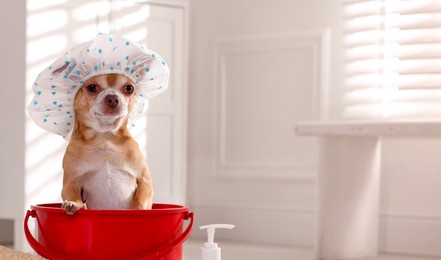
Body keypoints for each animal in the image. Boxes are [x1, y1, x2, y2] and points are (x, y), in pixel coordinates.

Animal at [61, 73, 152, 215]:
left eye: (129, 88)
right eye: (92, 87)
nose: (113, 98)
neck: (105, 136)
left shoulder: (144, 181)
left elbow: (139, 201)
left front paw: (135, 211)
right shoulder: (71, 183)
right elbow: (73, 196)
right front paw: (74, 204)